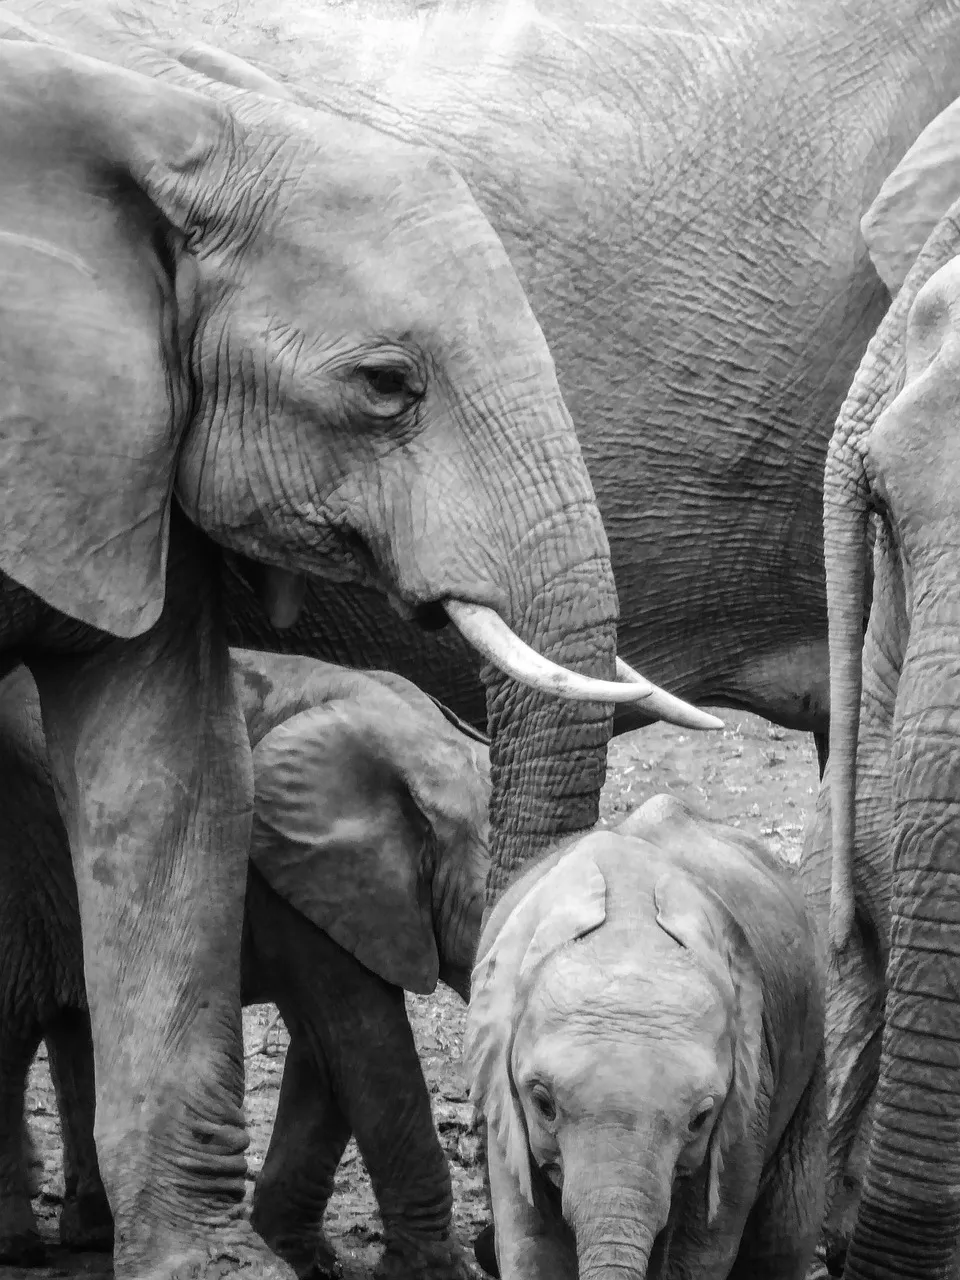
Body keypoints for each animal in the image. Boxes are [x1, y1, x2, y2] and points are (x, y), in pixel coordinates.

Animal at [0, 650, 491, 1280]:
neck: (435, 745)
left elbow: (325, 1053)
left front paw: (299, 1256)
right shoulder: (289, 876)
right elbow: (362, 1043)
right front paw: (438, 1272)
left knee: (76, 1022)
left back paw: (92, 1235)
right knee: (13, 1026)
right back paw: (20, 1247)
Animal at [465, 798, 829, 1280]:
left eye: (700, 1118)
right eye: (542, 1104)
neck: (628, 930)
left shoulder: (749, 1102)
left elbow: (701, 1250)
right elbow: (530, 1240)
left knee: (782, 1235)